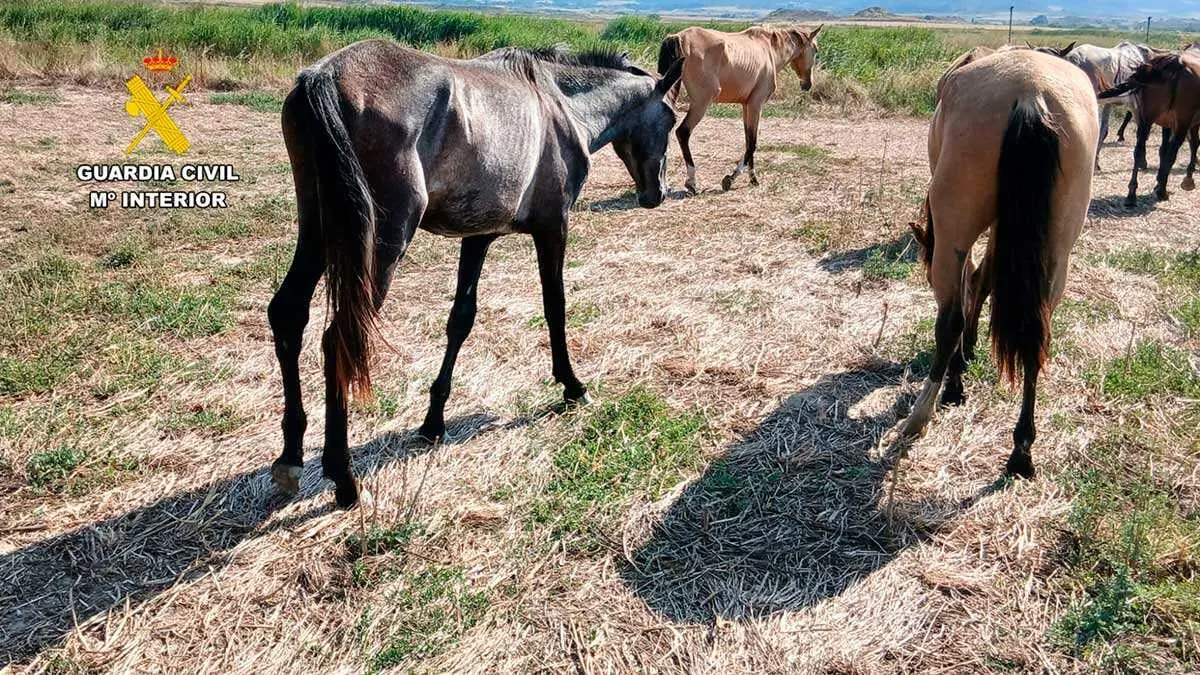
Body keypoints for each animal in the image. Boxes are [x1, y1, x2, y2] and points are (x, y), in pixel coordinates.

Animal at [269, 40, 683, 507]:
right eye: (671, 119)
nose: (656, 193)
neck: (560, 105)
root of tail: (324, 76)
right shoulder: (553, 227)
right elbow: (555, 307)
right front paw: (572, 385)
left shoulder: (479, 236)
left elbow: (460, 321)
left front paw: (434, 420)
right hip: (382, 240)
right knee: (340, 338)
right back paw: (343, 477)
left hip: (320, 230)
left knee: (288, 315)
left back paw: (291, 457)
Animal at [656, 24, 821, 193]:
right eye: (816, 50)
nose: (807, 85)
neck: (769, 49)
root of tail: (678, 37)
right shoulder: (756, 105)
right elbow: (753, 143)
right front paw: (731, 178)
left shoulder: (746, 106)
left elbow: (748, 141)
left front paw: (753, 179)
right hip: (700, 104)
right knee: (682, 132)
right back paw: (692, 182)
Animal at [900, 49, 1098, 478]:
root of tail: (1030, 93)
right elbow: (984, 280)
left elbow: (970, 286)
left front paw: (959, 372)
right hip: (1057, 251)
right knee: (1037, 333)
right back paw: (1021, 450)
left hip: (954, 233)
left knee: (950, 318)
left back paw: (923, 413)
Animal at [1099, 52, 1200, 206]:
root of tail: (1176, 64)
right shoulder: (1188, 123)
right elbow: (1193, 145)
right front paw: (1187, 179)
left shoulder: (1167, 123)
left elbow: (1163, 150)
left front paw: (1158, 181)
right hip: (1181, 124)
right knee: (1172, 153)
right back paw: (1162, 192)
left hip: (1146, 119)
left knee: (1139, 150)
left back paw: (1132, 194)